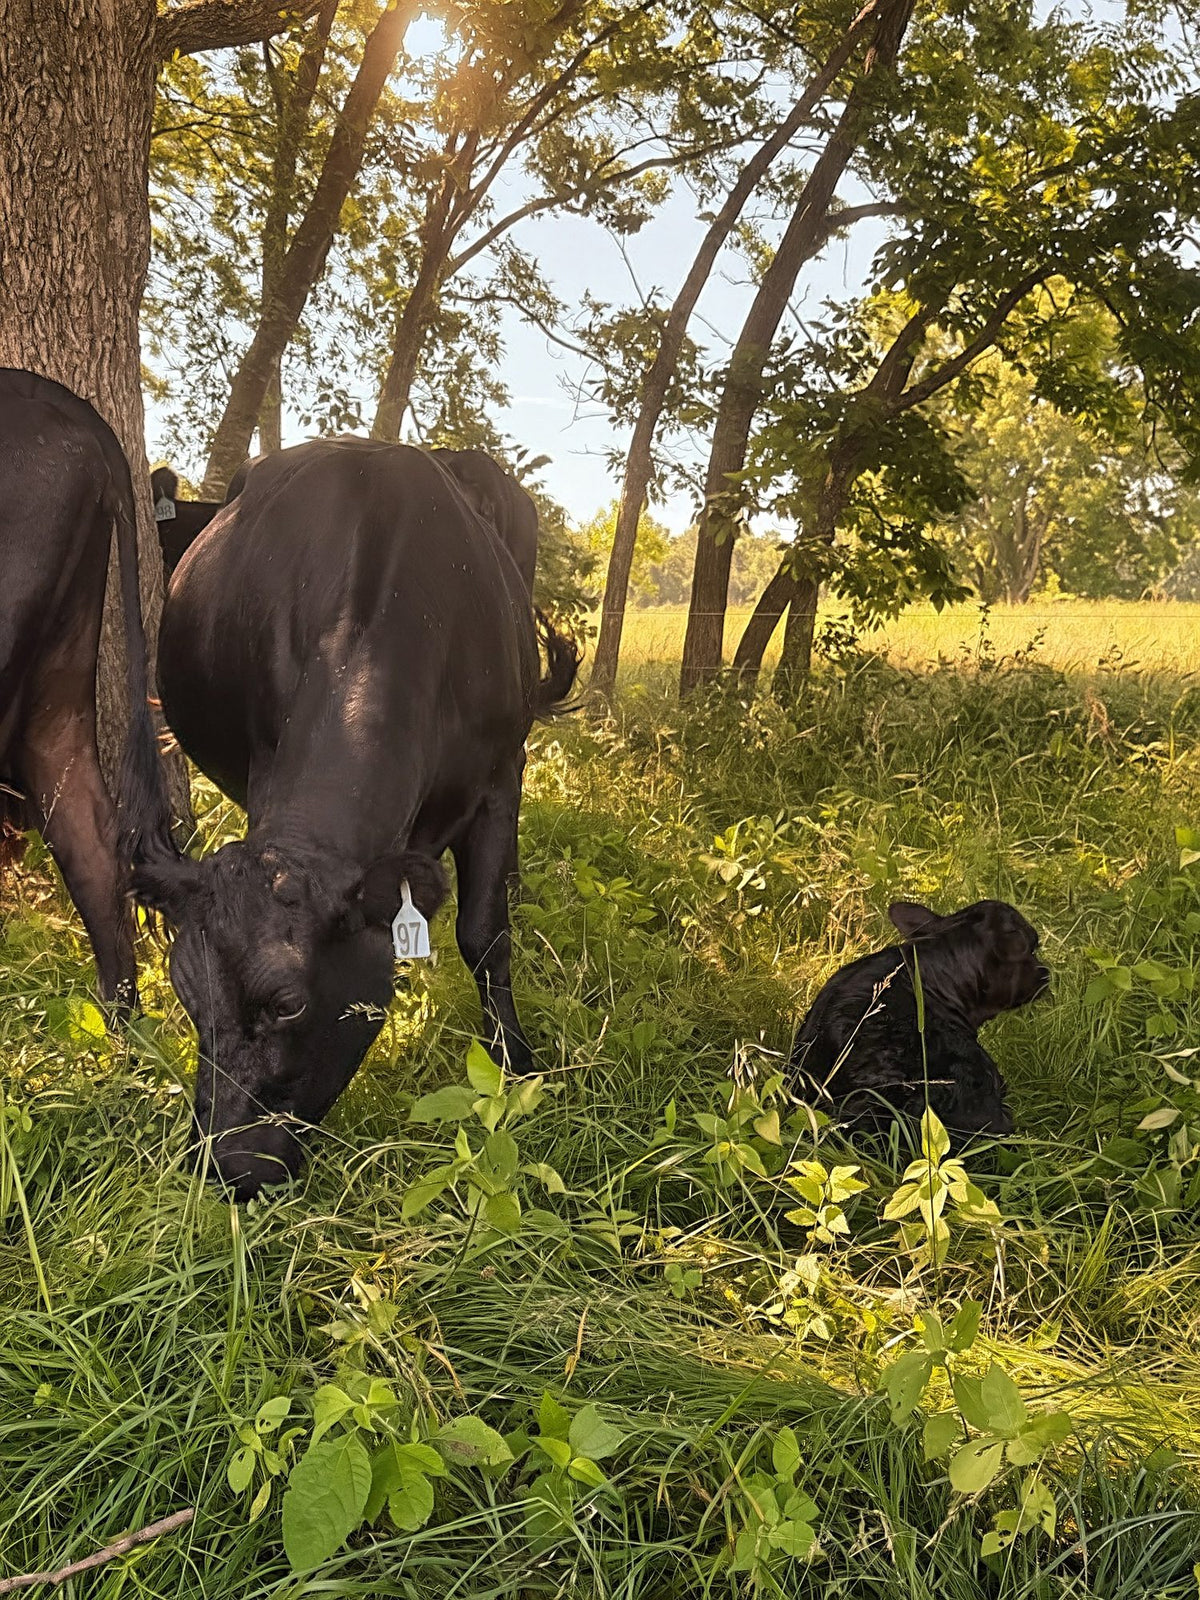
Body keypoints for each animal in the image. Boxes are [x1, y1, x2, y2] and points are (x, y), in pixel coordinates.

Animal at [132, 436, 578, 1200]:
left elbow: (485, 933)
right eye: (187, 998)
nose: (222, 1166)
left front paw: (517, 1068)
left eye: (287, 1002)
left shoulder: (501, 774)